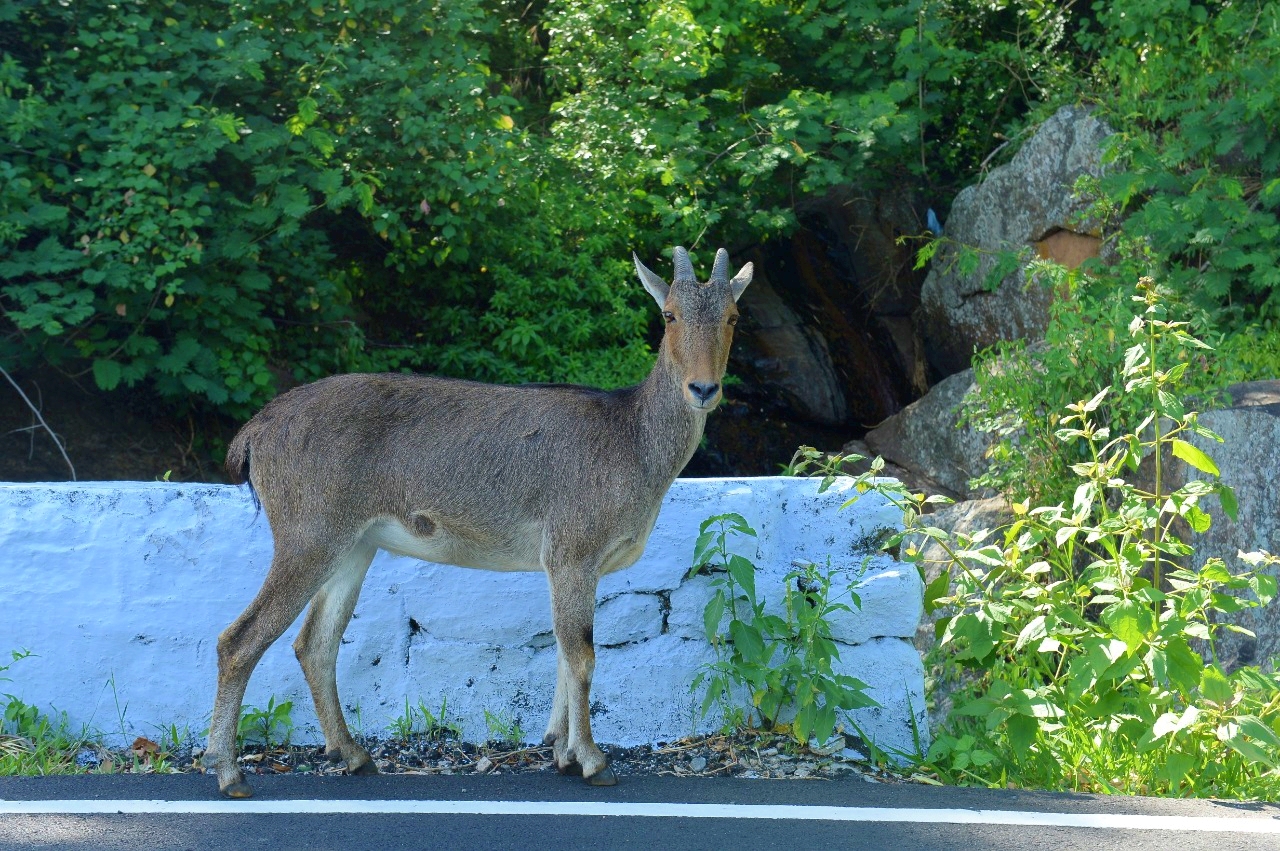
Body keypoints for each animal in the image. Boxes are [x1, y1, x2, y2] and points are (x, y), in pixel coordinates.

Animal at [204, 245, 752, 798]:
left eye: (732, 316)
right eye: (670, 315)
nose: (703, 388)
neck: (634, 443)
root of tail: (254, 434)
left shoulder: (570, 564)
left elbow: (563, 648)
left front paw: (561, 752)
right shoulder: (573, 548)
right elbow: (582, 653)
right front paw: (593, 761)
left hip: (354, 546)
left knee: (315, 643)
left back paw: (354, 755)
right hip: (308, 534)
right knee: (239, 639)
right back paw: (230, 772)